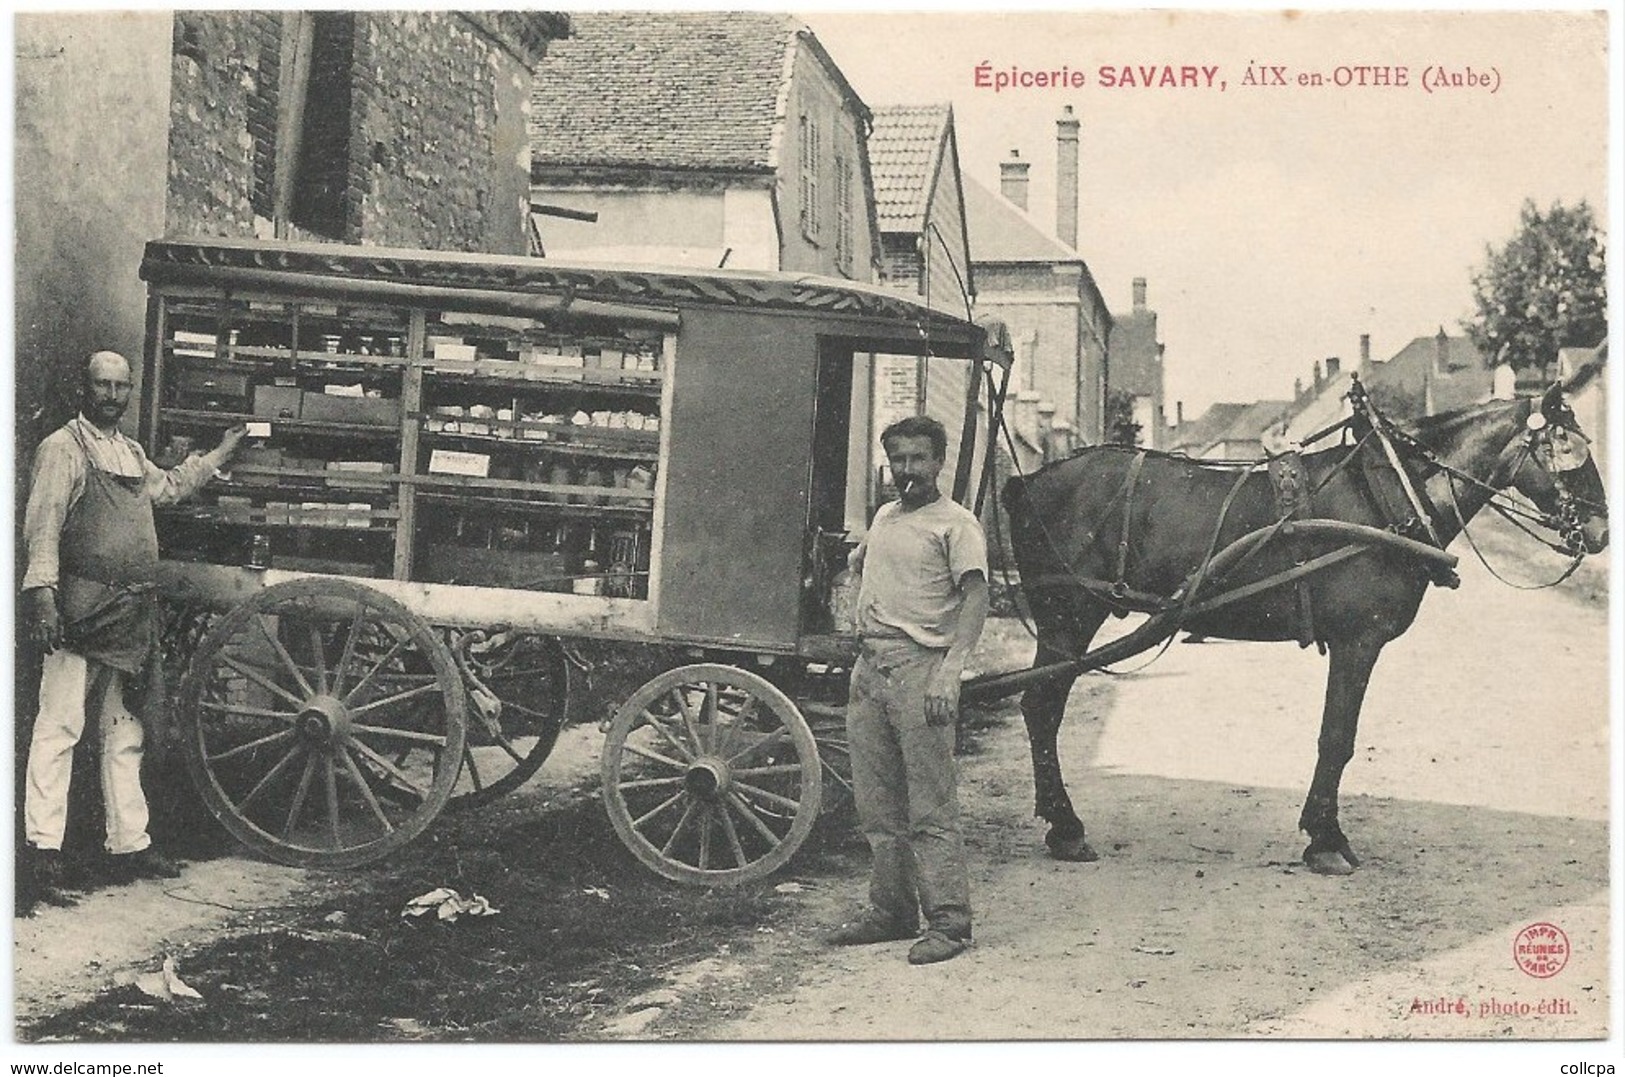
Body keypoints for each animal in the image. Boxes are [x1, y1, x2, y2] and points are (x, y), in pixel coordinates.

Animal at [1001, 378, 1612, 877]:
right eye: (1569, 451)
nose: (1603, 531)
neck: (1386, 494)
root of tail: (1028, 481)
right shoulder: (1357, 642)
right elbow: (1337, 737)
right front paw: (1326, 839)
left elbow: (1337, 737)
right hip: (1067, 617)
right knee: (1041, 708)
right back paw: (1065, 826)